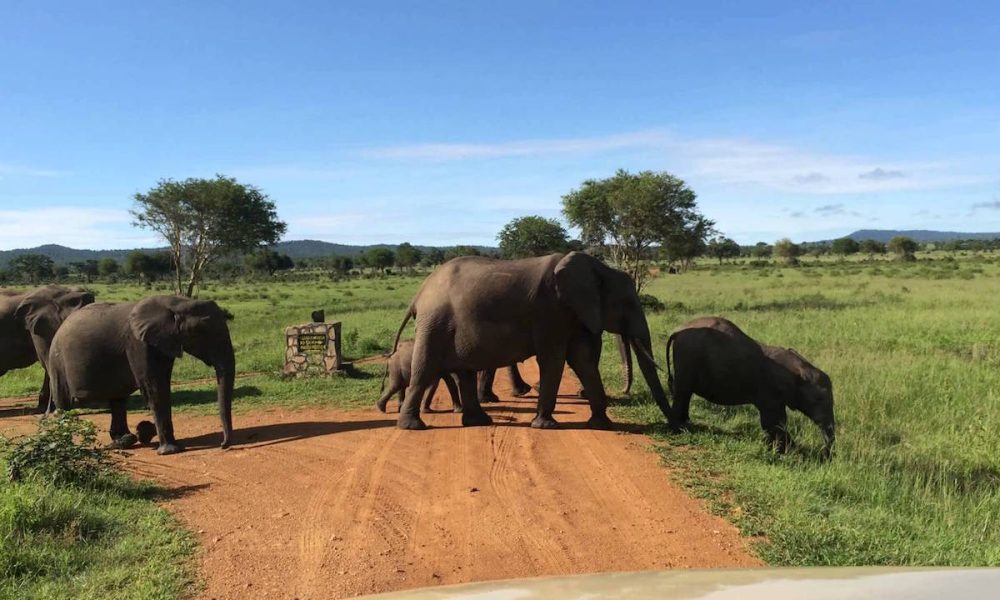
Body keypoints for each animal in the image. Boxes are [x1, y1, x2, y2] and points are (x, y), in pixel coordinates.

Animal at [47, 296, 235, 454]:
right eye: (200, 332)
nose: (223, 445)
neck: (176, 302)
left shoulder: (163, 342)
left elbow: (162, 384)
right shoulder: (138, 343)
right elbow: (154, 389)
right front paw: (171, 451)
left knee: (118, 401)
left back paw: (123, 441)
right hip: (57, 362)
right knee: (63, 402)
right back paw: (65, 446)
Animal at [388, 252, 672, 432]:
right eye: (627, 304)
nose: (675, 426)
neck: (599, 268)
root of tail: (419, 294)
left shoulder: (572, 313)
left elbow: (583, 361)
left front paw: (602, 425)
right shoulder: (551, 310)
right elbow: (554, 359)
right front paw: (546, 426)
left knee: (464, 372)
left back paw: (479, 421)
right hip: (434, 323)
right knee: (425, 369)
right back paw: (413, 427)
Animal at [668, 314, 840, 460]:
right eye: (818, 400)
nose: (826, 457)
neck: (800, 369)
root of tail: (677, 331)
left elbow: (775, 421)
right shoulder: (770, 389)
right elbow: (773, 421)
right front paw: (789, 451)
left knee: (685, 394)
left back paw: (685, 425)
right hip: (687, 358)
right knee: (683, 392)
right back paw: (677, 429)